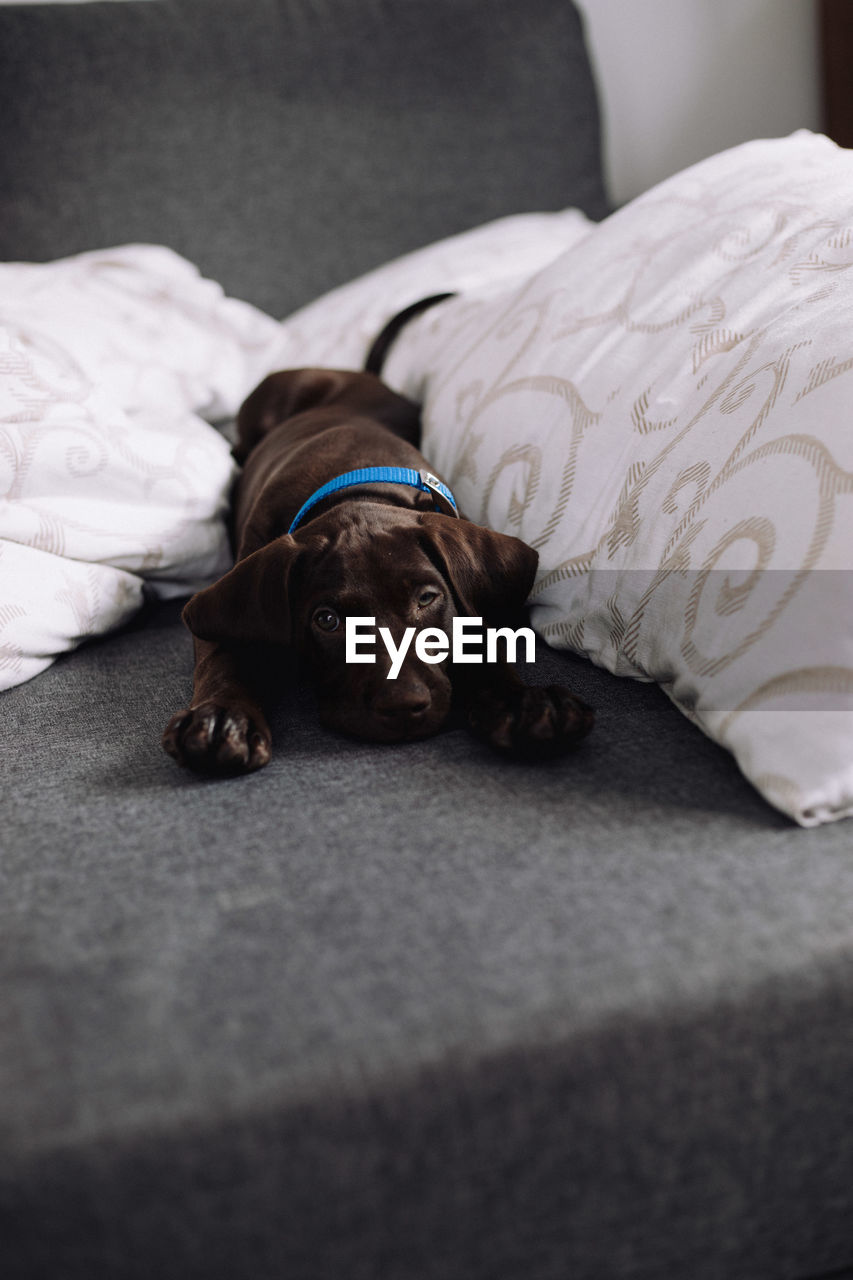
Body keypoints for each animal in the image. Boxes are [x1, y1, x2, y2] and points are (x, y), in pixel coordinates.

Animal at [161, 366, 591, 773]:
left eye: (426, 599)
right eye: (327, 620)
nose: (402, 705)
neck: (357, 486)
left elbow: (483, 642)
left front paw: (522, 702)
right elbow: (225, 654)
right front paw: (222, 718)